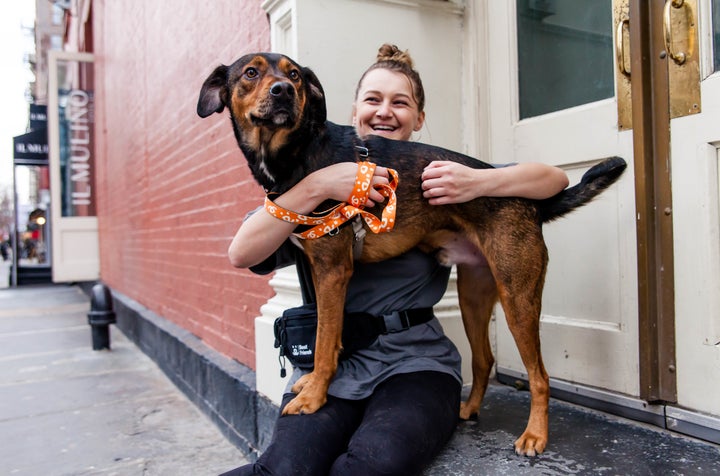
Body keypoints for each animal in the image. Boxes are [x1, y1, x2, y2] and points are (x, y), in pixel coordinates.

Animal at [195, 53, 624, 458]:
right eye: (251, 73)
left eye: (295, 75)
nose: (282, 90)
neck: (298, 154)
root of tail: (533, 204)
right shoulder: (316, 270)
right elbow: (326, 334)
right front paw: (312, 383)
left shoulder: (333, 270)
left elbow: (325, 339)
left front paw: (315, 396)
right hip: (473, 295)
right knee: (483, 359)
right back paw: (469, 410)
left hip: (518, 295)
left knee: (539, 376)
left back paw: (535, 435)